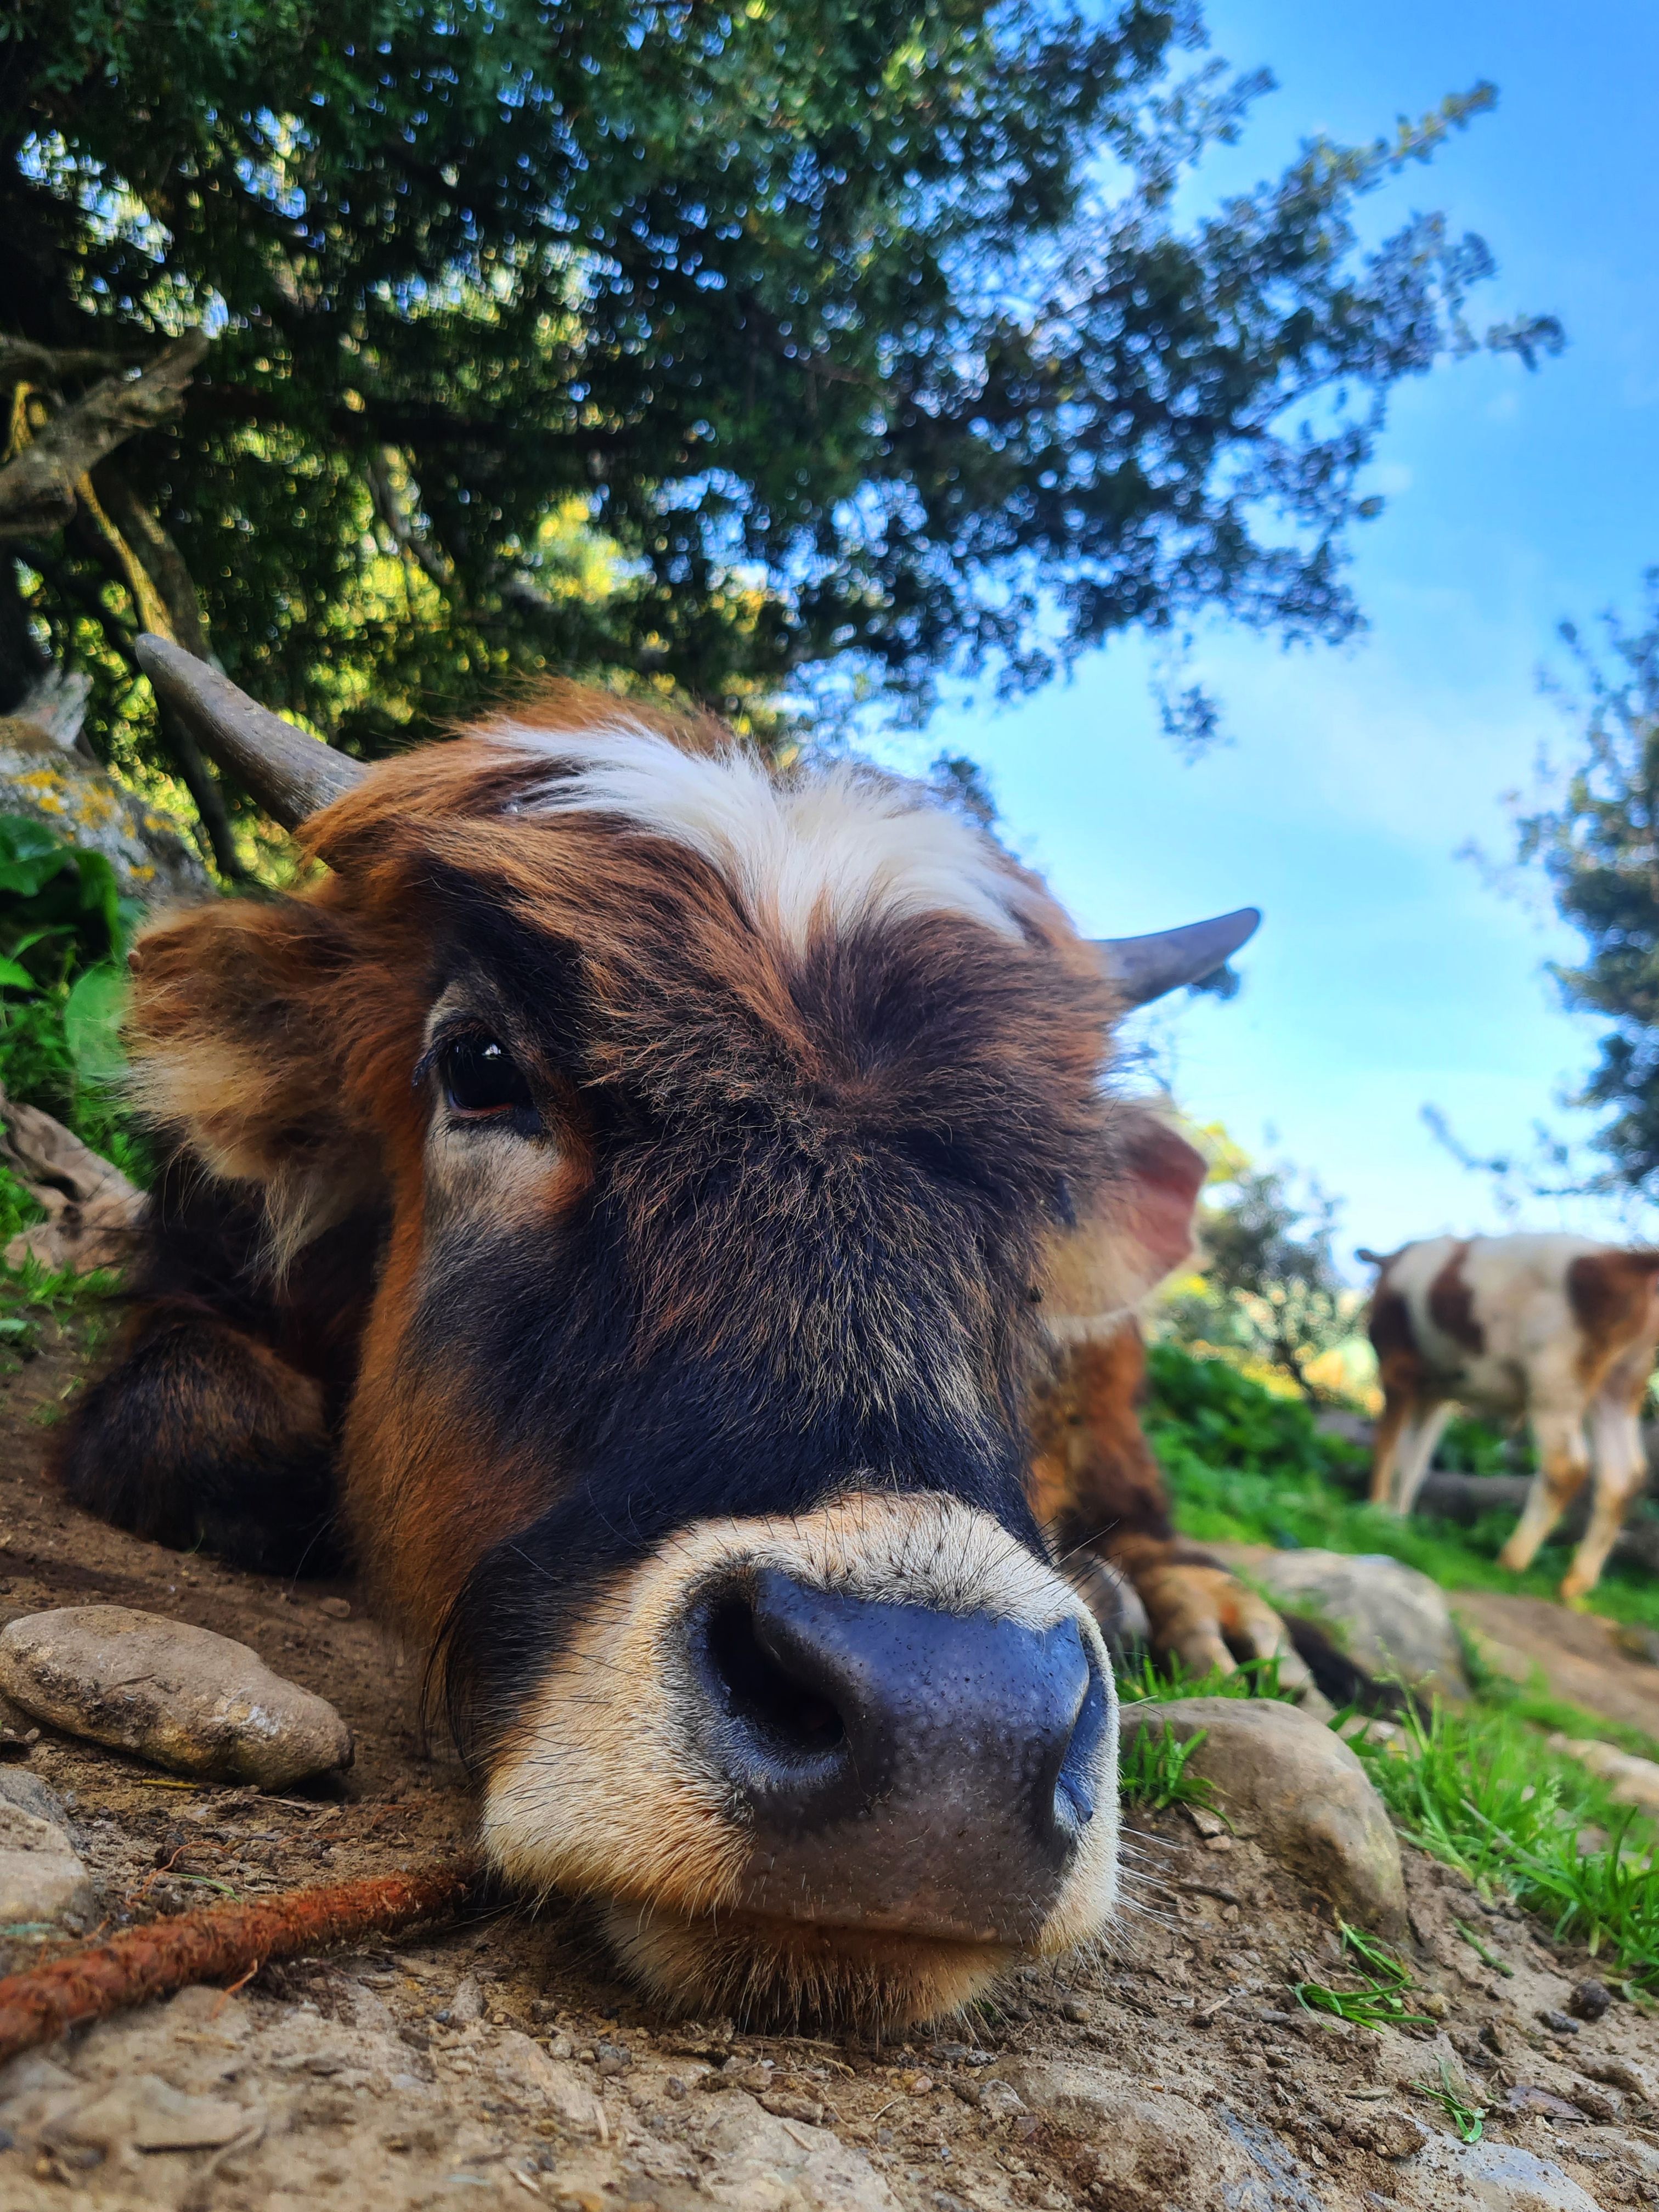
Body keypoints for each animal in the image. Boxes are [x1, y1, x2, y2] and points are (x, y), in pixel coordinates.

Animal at [1362, 1234, 1659, 1602]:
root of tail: (1627, 1259)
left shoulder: (1397, 1370)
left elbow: (1387, 1447)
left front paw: (1372, 1514)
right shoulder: (1435, 1395)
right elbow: (1415, 1463)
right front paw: (1396, 1522)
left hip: (1557, 1379)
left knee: (1568, 1466)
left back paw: (1510, 1561)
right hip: (1621, 1383)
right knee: (1624, 1475)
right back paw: (1574, 1586)